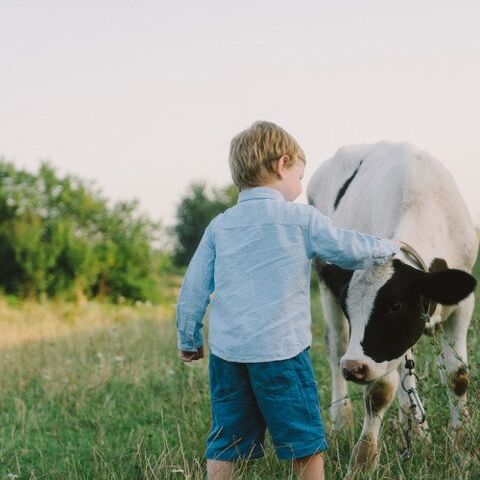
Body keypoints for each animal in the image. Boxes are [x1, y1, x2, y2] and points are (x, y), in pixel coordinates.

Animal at [306, 142, 478, 472]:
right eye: (349, 307)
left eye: (396, 305)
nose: (353, 368)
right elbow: (379, 389)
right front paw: (363, 460)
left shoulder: (462, 304)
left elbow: (457, 376)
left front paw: (462, 450)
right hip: (323, 281)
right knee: (337, 347)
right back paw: (341, 419)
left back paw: (415, 433)